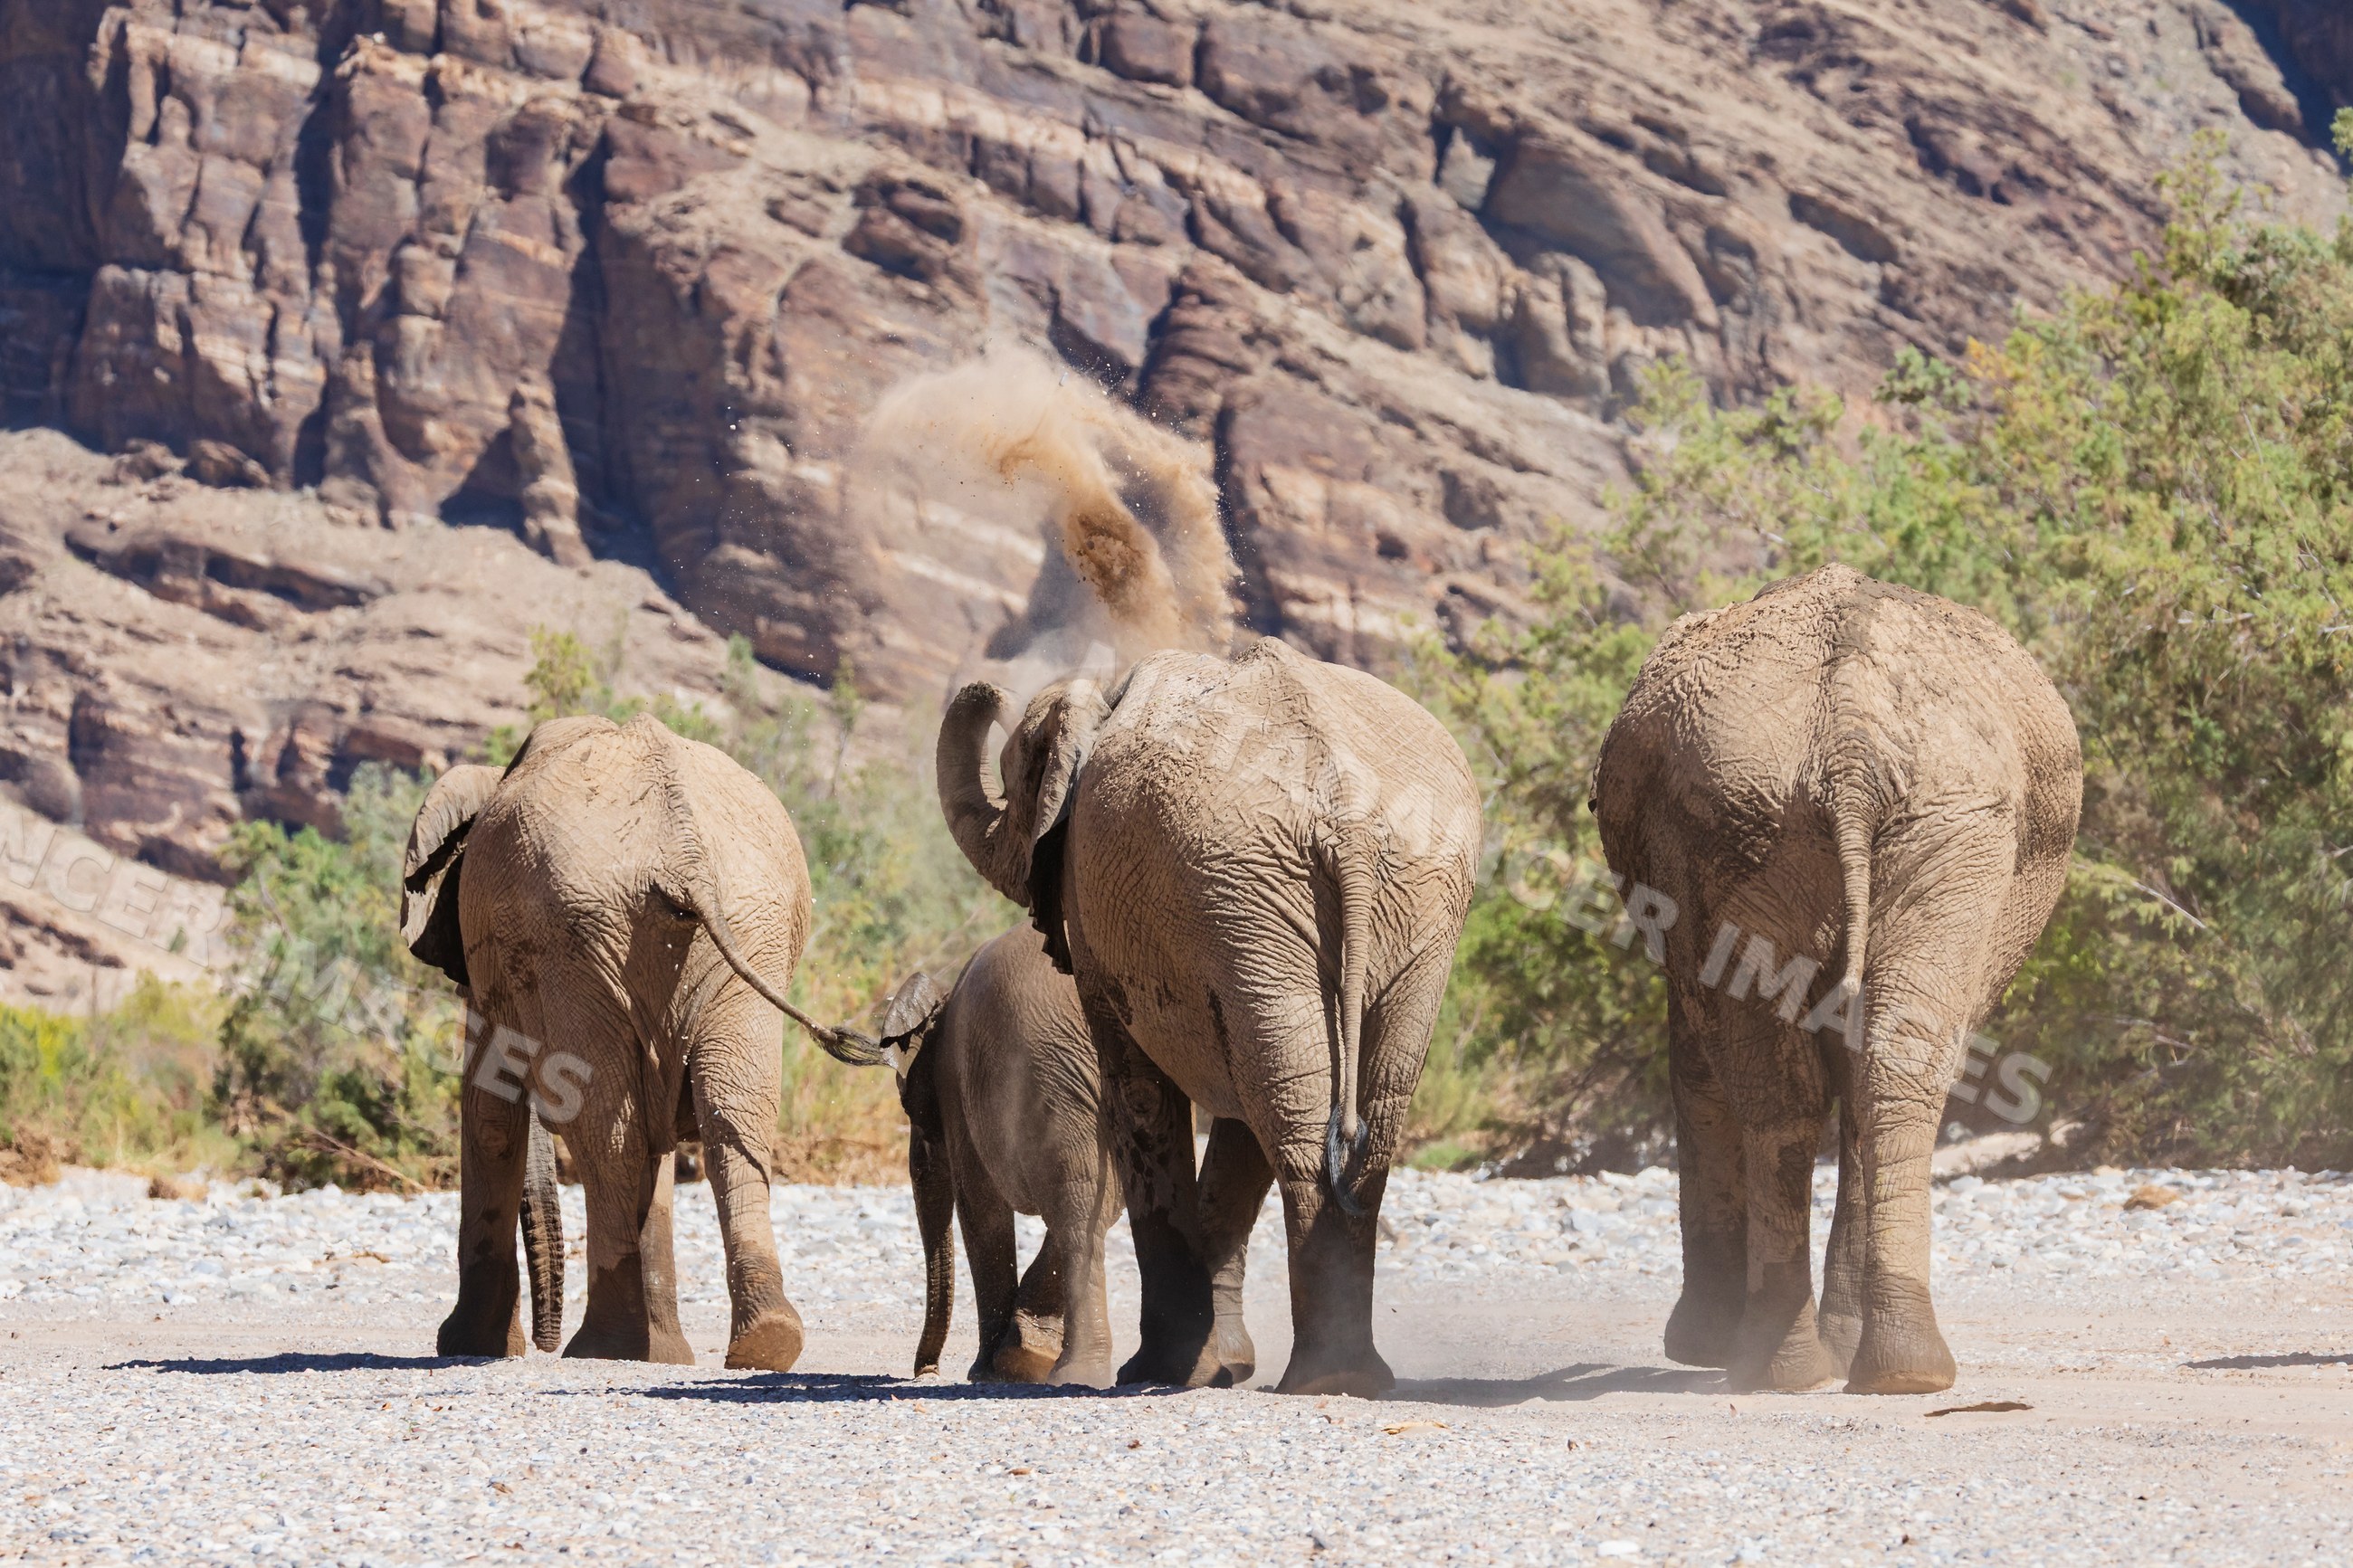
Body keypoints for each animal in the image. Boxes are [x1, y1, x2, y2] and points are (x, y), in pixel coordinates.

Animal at [400, 713, 879, 1369]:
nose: (541, 1345)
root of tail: (684, 853)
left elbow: (492, 1115)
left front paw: (467, 1346)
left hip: (581, 941)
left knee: (607, 1129)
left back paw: (601, 1349)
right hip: (738, 930)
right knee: (731, 1112)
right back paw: (763, 1341)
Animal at [880, 924, 1122, 1385]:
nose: (926, 1373)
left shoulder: (956, 1090)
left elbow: (980, 1209)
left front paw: (989, 1370)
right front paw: (1022, 1356)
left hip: (1051, 1075)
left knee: (1074, 1204)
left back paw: (1074, 1372)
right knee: (1088, 1201)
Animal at [937, 635, 1481, 1396]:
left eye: (1014, 782)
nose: (991, 688)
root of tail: (1348, 819)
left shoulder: (1108, 921)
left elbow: (1137, 1089)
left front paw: (1159, 1371)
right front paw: (1216, 1367)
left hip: (1259, 892)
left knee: (1290, 1108)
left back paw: (1320, 1379)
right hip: (1385, 901)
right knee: (1341, 1101)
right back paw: (1347, 1377)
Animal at [1590, 564, 2081, 1394]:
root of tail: (1852, 746)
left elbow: (1702, 1060)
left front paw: (1702, 1348)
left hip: (1888, 821)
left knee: (1800, 1079)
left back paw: (1813, 1366)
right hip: (1811, 822)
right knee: (1866, 1067)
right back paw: (1862, 1368)